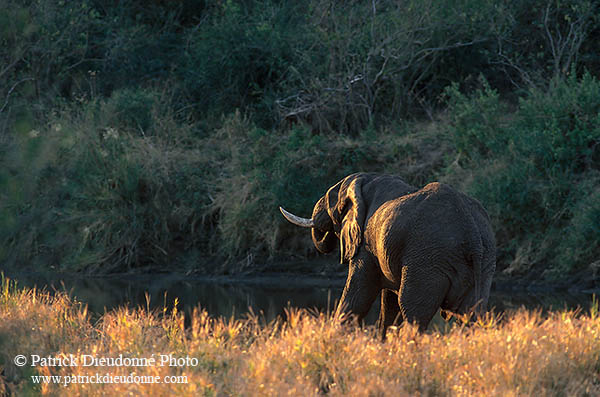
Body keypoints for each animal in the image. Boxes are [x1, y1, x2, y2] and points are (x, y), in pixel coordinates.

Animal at [282, 172, 496, 336]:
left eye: (329, 202)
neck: (366, 179)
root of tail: (472, 232)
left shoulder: (367, 247)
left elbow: (358, 295)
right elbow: (389, 303)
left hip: (429, 260)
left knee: (413, 310)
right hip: (483, 263)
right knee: (471, 315)